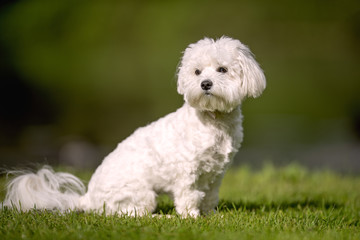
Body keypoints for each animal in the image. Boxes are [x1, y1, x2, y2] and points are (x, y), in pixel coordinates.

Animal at [2, 36, 266, 218]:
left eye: (222, 69)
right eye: (197, 71)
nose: (205, 83)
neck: (213, 120)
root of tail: (88, 198)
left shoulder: (217, 173)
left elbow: (210, 197)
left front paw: (211, 216)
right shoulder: (187, 172)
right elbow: (188, 196)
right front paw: (191, 218)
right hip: (142, 194)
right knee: (133, 215)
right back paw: (164, 218)